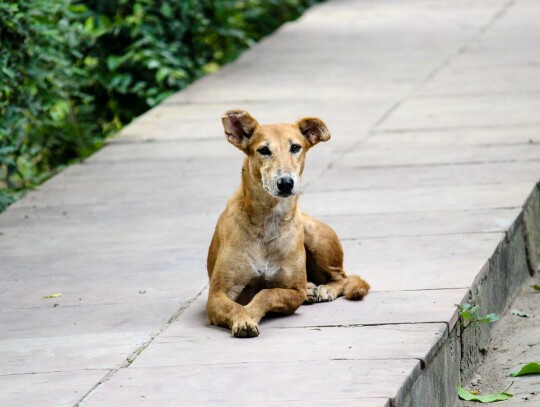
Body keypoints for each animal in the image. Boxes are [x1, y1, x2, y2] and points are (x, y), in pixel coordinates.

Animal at [205, 109, 370, 338]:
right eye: (263, 150)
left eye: (295, 147)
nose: (285, 183)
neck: (269, 220)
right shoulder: (217, 294)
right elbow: (235, 305)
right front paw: (244, 318)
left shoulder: (294, 291)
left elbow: (267, 293)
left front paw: (251, 312)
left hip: (314, 234)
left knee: (342, 277)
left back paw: (324, 289)